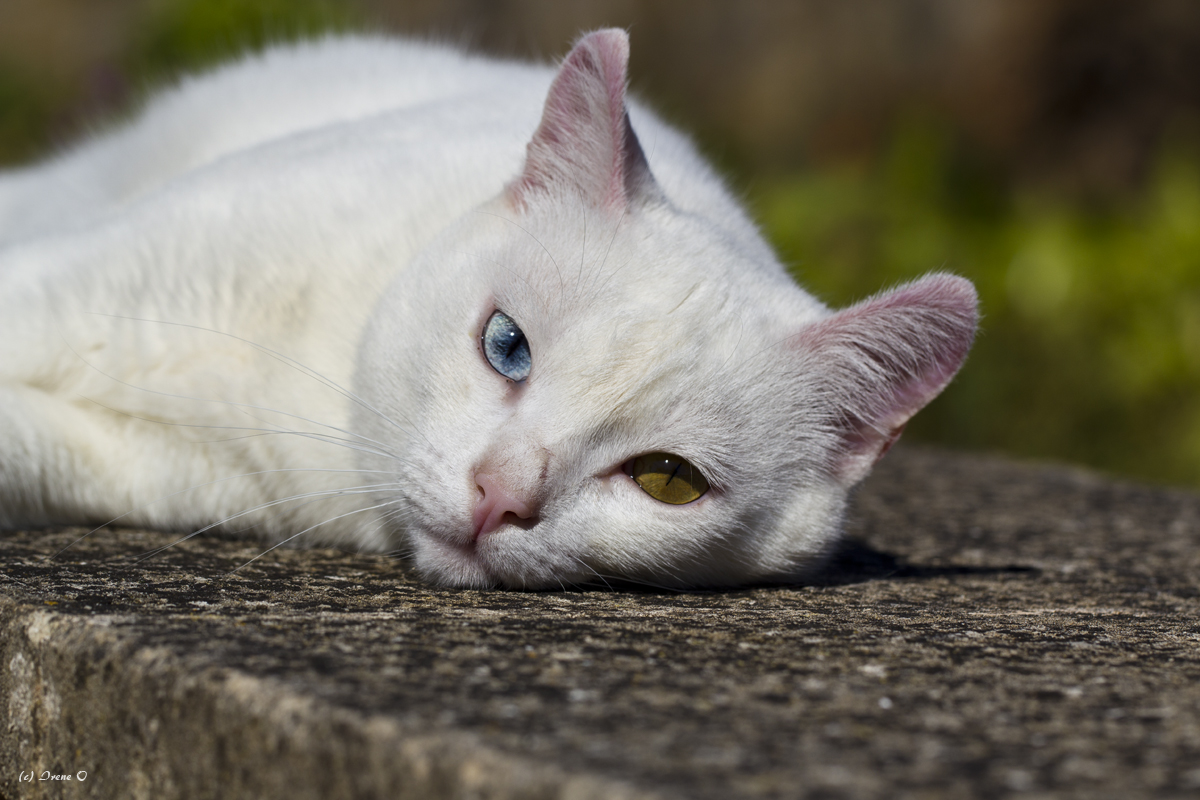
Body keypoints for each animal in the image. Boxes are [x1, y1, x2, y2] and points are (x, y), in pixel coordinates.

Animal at [0, 31, 974, 587]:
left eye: (668, 480)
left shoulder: (151, 465)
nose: (500, 498)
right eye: (507, 346)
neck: (319, 376)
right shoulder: (96, 276)